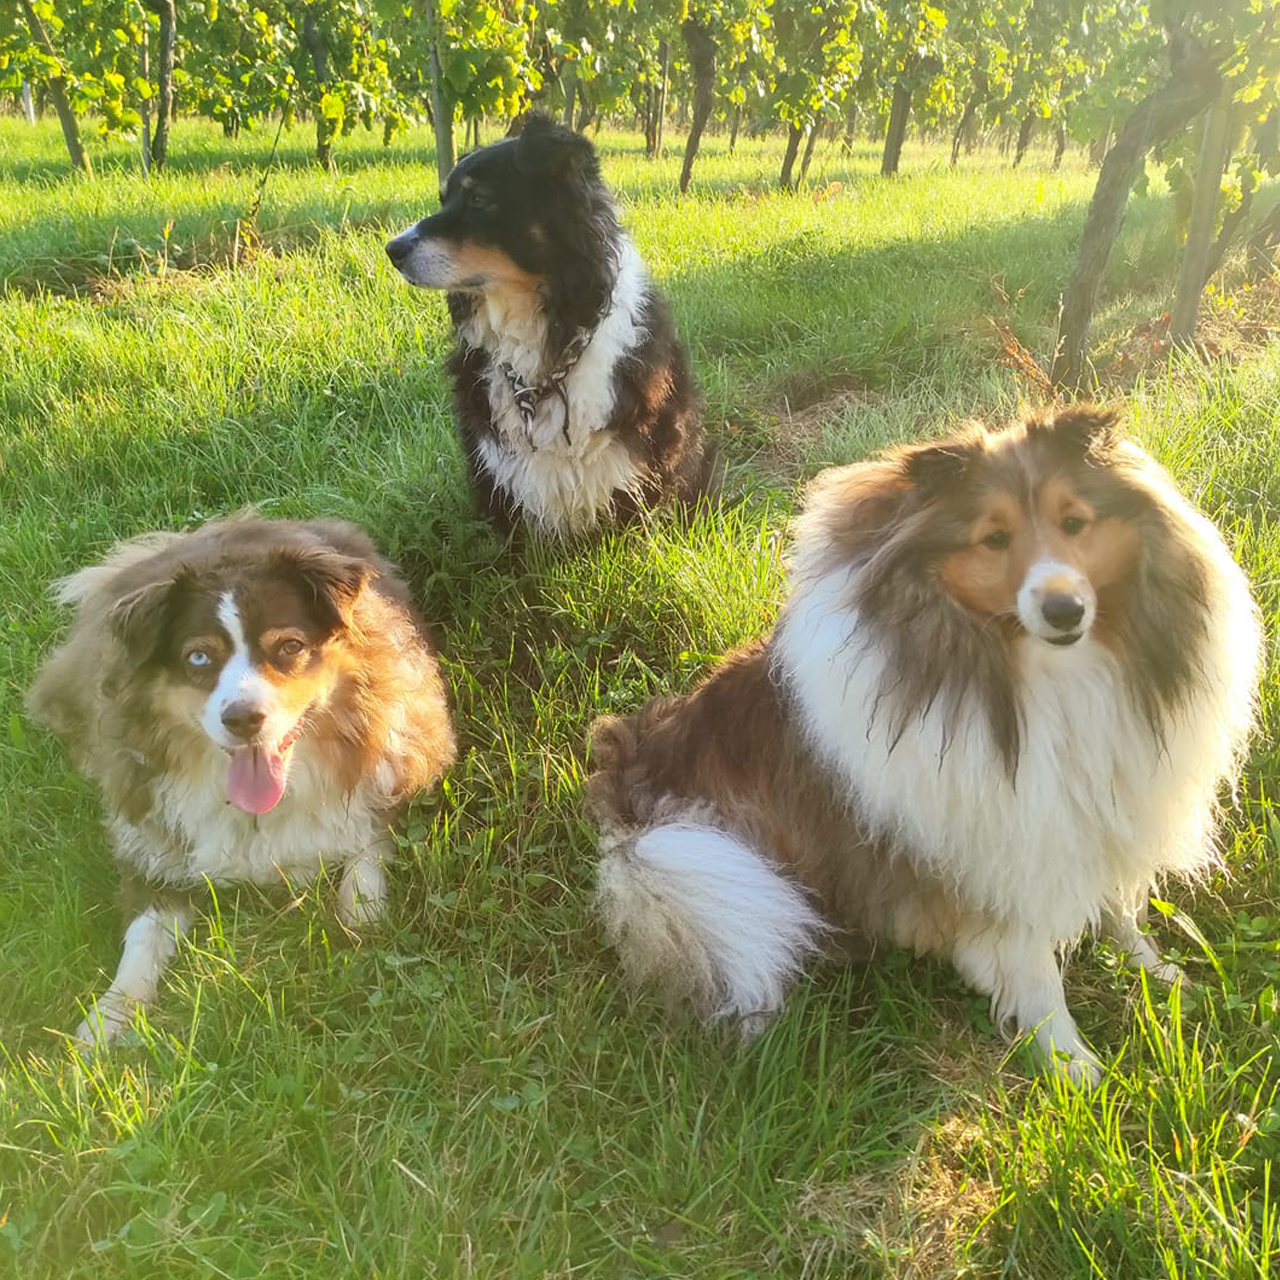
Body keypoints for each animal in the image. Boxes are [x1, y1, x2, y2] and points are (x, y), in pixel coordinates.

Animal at [26, 514, 460, 1044]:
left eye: (289, 646)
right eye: (198, 657)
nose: (243, 719)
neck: (260, 812)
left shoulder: (398, 770)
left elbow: (368, 850)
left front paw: (362, 917)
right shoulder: (154, 845)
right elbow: (142, 936)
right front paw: (107, 1019)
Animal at [586, 404, 1264, 1085]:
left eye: (1074, 522)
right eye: (994, 538)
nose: (1065, 610)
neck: (1042, 673)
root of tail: (629, 778)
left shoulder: (1096, 808)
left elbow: (1124, 908)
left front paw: (1162, 975)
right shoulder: (998, 851)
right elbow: (1034, 970)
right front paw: (1072, 1067)